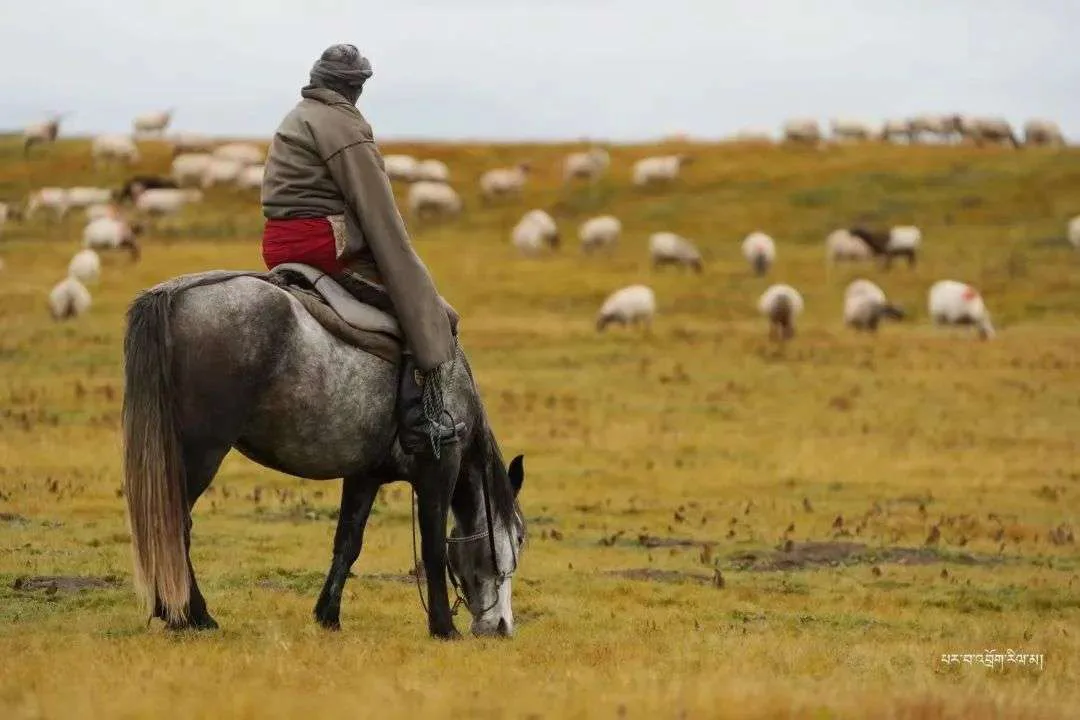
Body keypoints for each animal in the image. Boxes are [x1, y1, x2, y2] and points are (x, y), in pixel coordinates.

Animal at [121, 270, 528, 639]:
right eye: (520, 539)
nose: (503, 627)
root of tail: (173, 294)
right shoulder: (438, 470)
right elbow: (432, 550)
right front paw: (443, 628)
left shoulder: (365, 475)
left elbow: (348, 542)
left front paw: (328, 615)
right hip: (200, 454)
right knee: (174, 525)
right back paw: (193, 615)